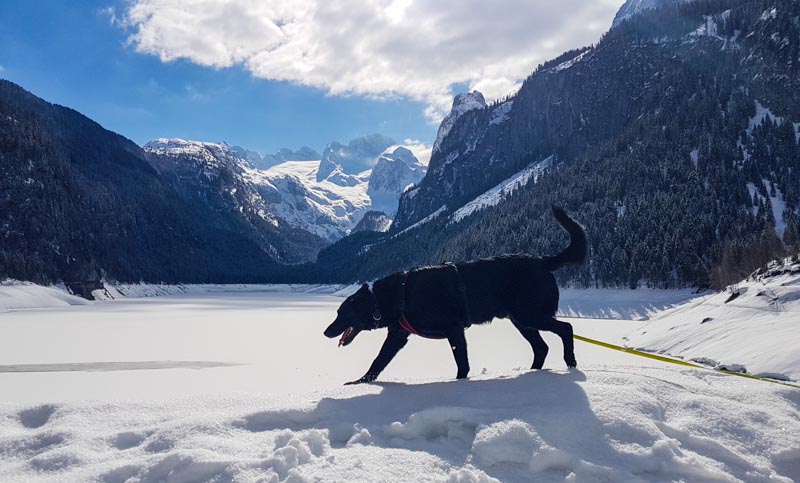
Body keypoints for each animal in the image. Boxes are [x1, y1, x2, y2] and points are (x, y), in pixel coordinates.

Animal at [324, 207, 588, 386]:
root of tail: (543, 261)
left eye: (341, 314)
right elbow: (378, 361)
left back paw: (570, 362)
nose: (326, 332)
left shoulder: (454, 329)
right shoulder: (398, 336)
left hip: (529, 314)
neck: (393, 296)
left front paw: (458, 385)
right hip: (521, 320)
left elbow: (462, 362)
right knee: (541, 347)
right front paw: (359, 383)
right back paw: (531, 374)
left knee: (566, 328)